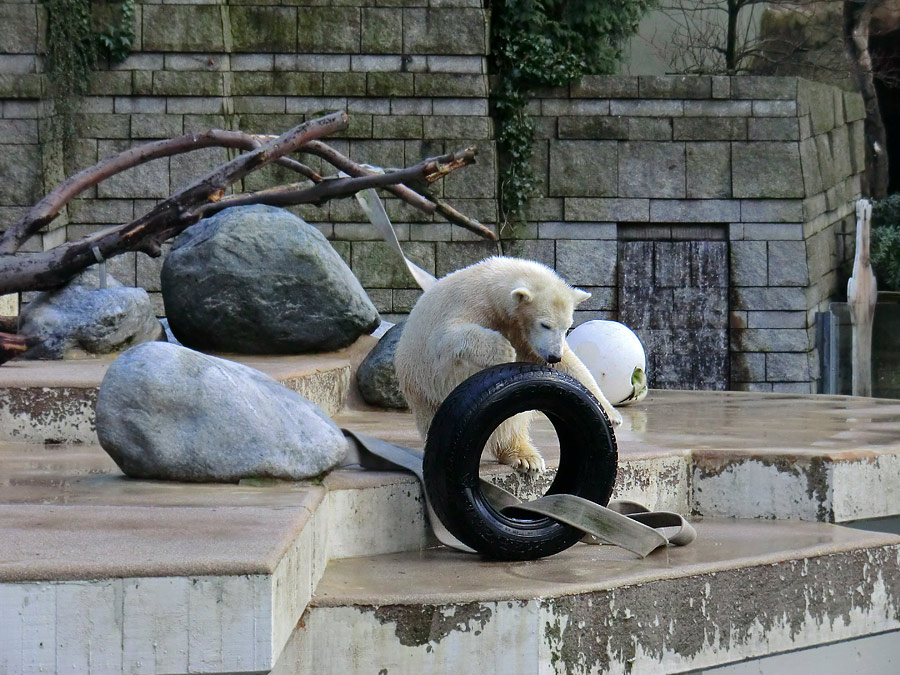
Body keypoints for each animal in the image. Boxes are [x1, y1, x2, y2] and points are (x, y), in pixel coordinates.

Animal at [398, 256, 624, 472]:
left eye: (567, 326)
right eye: (545, 324)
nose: (553, 356)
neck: (490, 288)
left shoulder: (525, 336)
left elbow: (572, 365)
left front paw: (612, 414)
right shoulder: (469, 305)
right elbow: (450, 337)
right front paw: (504, 350)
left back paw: (527, 458)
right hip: (426, 391)